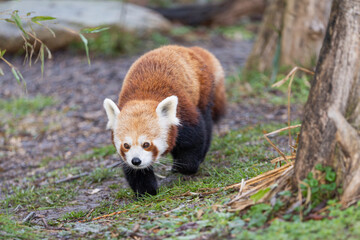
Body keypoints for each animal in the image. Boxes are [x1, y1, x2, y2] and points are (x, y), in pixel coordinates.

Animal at [103, 45, 225, 197]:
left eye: (146, 144)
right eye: (126, 145)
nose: (136, 160)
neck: (142, 97)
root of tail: (187, 48)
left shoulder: (183, 115)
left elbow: (194, 139)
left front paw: (186, 167)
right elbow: (134, 171)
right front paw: (146, 191)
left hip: (203, 90)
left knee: (206, 122)